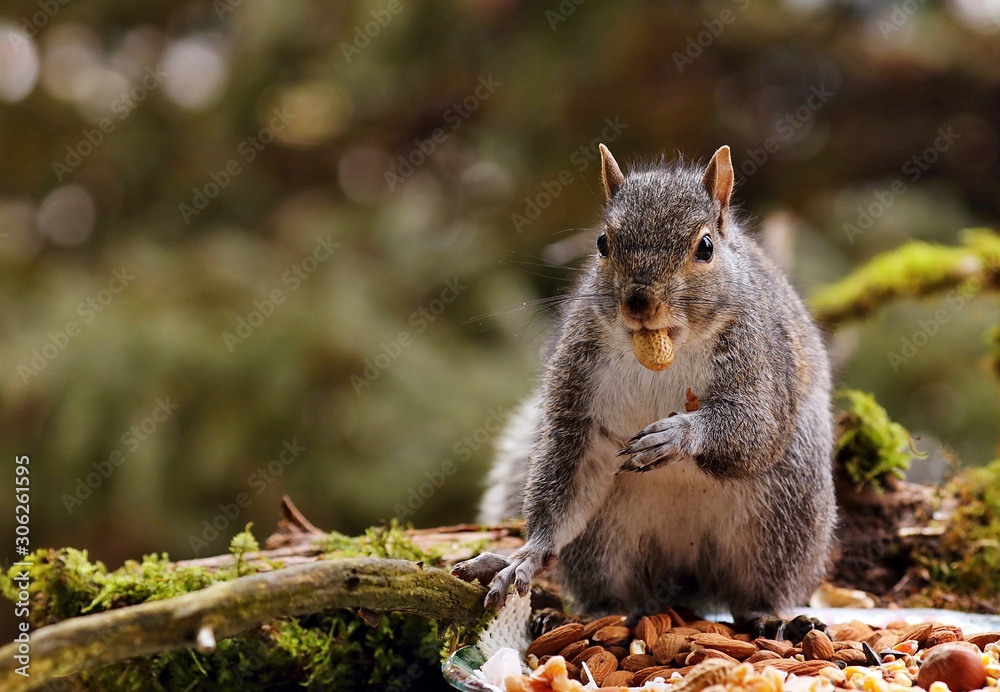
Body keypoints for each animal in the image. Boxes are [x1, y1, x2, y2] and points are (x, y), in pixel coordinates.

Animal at [452, 144, 836, 637]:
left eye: (705, 247)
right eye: (602, 242)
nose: (638, 303)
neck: (663, 347)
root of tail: (687, 570)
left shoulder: (761, 360)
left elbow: (757, 431)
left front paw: (678, 435)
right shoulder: (579, 389)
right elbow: (569, 469)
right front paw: (527, 555)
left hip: (784, 518)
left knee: (753, 592)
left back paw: (769, 618)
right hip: (604, 544)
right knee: (615, 593)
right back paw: (584, 615)